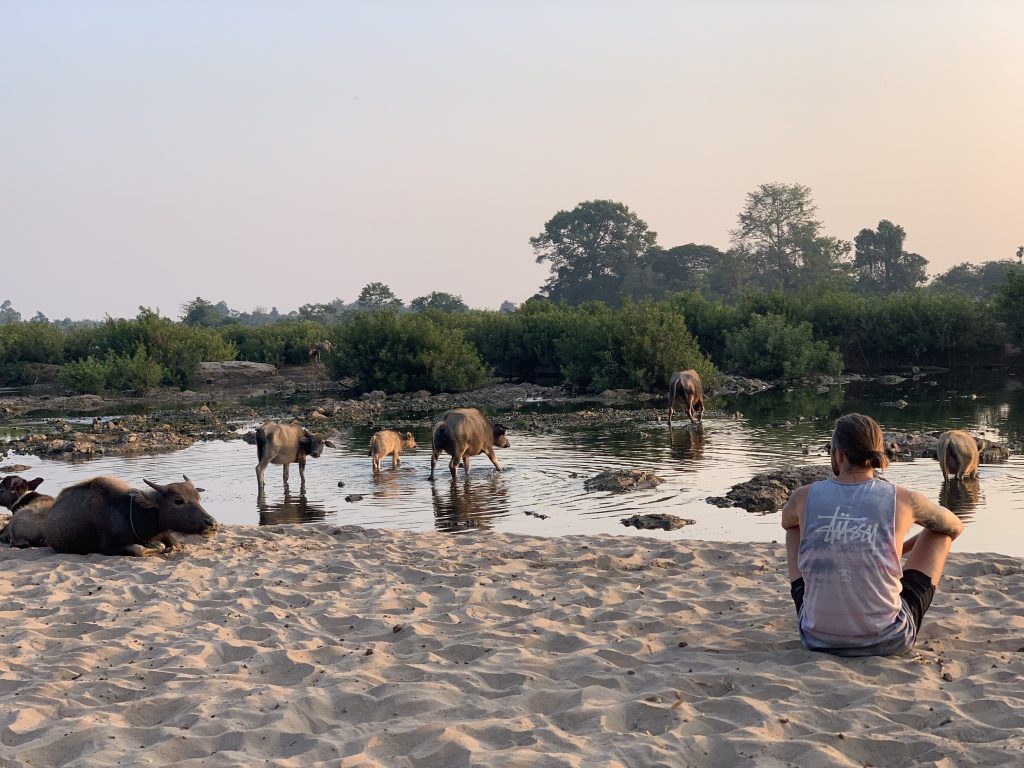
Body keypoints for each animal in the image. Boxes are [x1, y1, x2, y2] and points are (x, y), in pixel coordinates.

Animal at [41, 475, 218, 561]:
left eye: (198, 498)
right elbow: (140, 549)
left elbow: (175, 545)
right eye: (178, 501)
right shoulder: (108, 547)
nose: (212, 523)